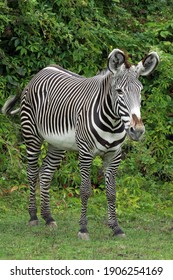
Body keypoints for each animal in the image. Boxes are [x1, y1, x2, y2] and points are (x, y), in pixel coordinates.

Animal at [2, 48, 159, 238]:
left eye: (140, 91)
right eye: (119, 91)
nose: (138, 130)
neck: (112, 122)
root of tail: (43, 70)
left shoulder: (114, 155)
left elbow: (112, 192)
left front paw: (116, 227)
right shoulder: (85, 152)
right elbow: (85, 191)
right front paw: (83, 228)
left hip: (57, 144)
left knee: (45, 173)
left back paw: (48, 217)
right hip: (31, 134)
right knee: (32, 173)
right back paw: (33, 216)